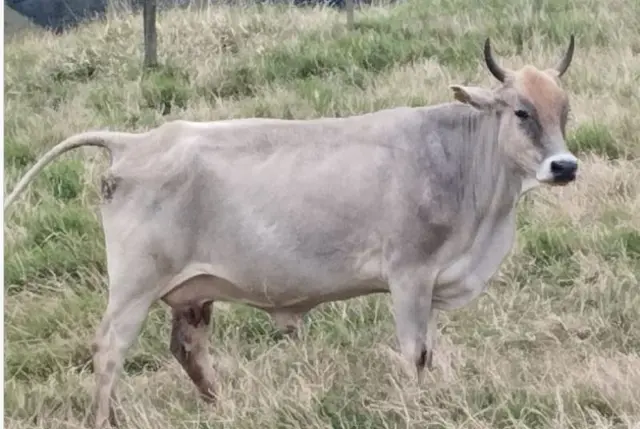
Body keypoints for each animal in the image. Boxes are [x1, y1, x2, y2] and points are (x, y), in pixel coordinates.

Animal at [4, 35, 577, 428]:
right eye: (521, 111)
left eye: (565, 111)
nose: (565, 166)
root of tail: (135, 141)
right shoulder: (409, 274)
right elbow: (414, 353)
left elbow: (428, 351)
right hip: (134, 285)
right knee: (109, 348)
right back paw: (104, 419)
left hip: (193, 292)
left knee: (189, 349)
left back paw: (222, 407)